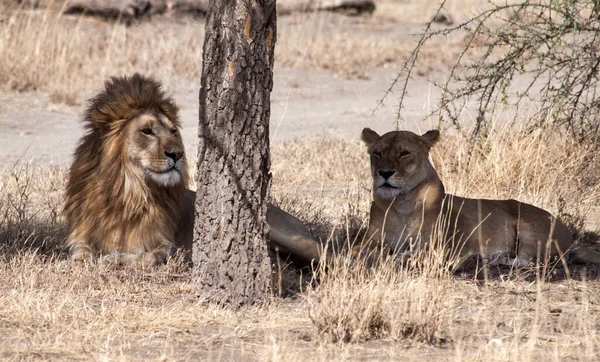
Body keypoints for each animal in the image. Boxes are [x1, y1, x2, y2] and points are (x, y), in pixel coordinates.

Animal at [64, 73, 324, 266]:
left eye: (173, 132)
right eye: (147, 131)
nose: (177, 154)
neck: (129, 191)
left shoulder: (167, 246)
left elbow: (146, 257)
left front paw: (113, 258)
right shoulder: (82, 234)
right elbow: (79, 253)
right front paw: (85, 260)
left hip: (291, 237)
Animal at [360, 129, 600, 268]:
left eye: (404, 153)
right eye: (377, 153)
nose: (384, 173)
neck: (400, 203)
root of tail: (570, 236)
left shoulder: (441, 246)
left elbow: (412, 254)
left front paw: (396, 258)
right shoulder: (372, 239)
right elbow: (362, 250)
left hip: (530, 229)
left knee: (529, 262)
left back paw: (490, 259)